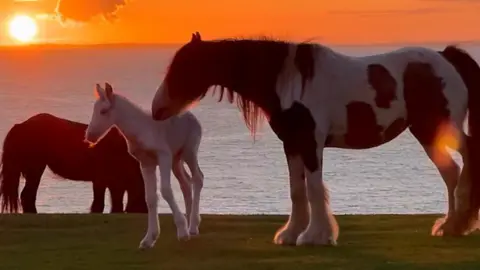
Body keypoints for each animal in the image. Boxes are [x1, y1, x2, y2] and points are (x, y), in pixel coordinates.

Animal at [0, 112, 146, 213]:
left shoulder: (115, 183)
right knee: (27, 195)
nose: (144, 210)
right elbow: (99, 204)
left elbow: (116, 205)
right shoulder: (102, 180)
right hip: (35, 169)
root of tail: (21, 126)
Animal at [85, 82, 204, 249]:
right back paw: (190, 226)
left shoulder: (164, 156)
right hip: (176, 160)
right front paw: (149, 239)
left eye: (103, 111)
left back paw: (192, 226)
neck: (140, 130)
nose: (89, 136)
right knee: (186, 183)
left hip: (189, 151)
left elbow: (166, 190)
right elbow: (150, 198)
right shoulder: (146, 163)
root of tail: (191, 116)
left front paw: (181, 231)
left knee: (198, 178)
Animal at [151, 32, 480, 247]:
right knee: (452, 173)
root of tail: (445, 57)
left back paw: (459, 222)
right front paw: (290, 234)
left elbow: (313, 189)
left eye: (183, 67)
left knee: (465, 158)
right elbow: (298, 191)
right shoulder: (292, 145)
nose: (156, 109)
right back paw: (451, 226)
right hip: (430, 134)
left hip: (438, 128)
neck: (289, 82)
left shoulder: (311, 144)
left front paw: (315, 236)